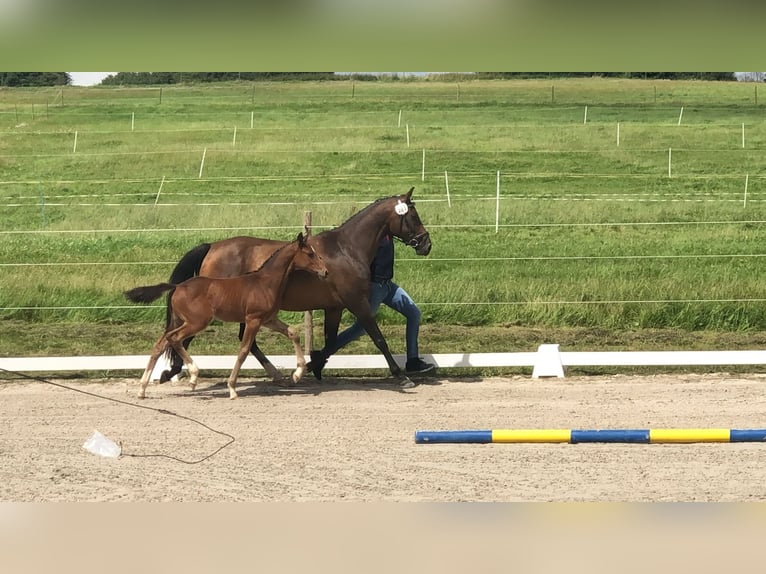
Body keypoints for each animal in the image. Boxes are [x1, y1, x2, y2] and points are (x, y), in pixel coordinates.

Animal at [124, 232, 328, 399]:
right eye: (309, 254)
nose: (325, 271)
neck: (265, 282)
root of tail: (178, 286)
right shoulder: (253, 319)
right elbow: (244, 350)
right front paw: (232, 389)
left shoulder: (268, 319)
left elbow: (293, 332)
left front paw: (297, 373)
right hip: (196, 322)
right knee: (175, 339)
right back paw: (192, 376)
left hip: (179, 320)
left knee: (161, 344)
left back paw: (142, 389)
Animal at [160, 187, 432, 388]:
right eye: (413, 216)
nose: (426, 244)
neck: (346, 249)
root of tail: (212, 247)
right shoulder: (357, 303)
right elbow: (378, 338)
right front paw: (402, 376)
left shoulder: (334, 307)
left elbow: (332, 341)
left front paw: (313, 366)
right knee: (188, 337)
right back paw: (172, 372)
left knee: (244, 341)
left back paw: (276, 375)